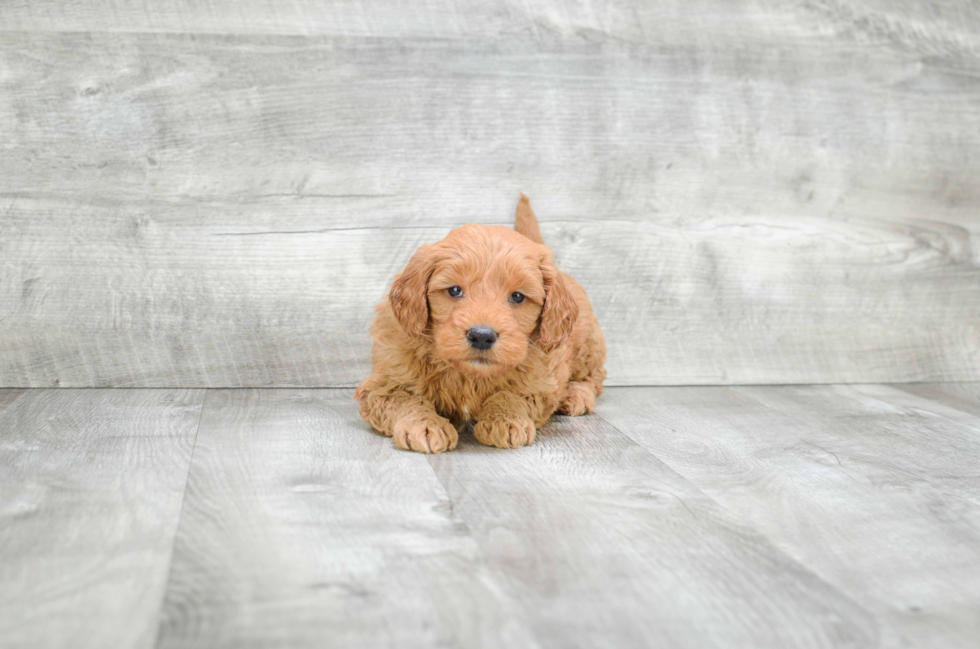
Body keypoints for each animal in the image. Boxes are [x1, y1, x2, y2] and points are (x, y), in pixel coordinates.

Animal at [354, 195, 604, 454]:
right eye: (454, 290)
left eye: (517, 296)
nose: (482, 336)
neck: (468, 374)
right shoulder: (384, 383)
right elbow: (407, 399)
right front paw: (425, 425)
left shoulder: (541, 383)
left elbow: (512, 395)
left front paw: (506, 420)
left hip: (589, 345)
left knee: (591, 379)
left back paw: (575, 395)